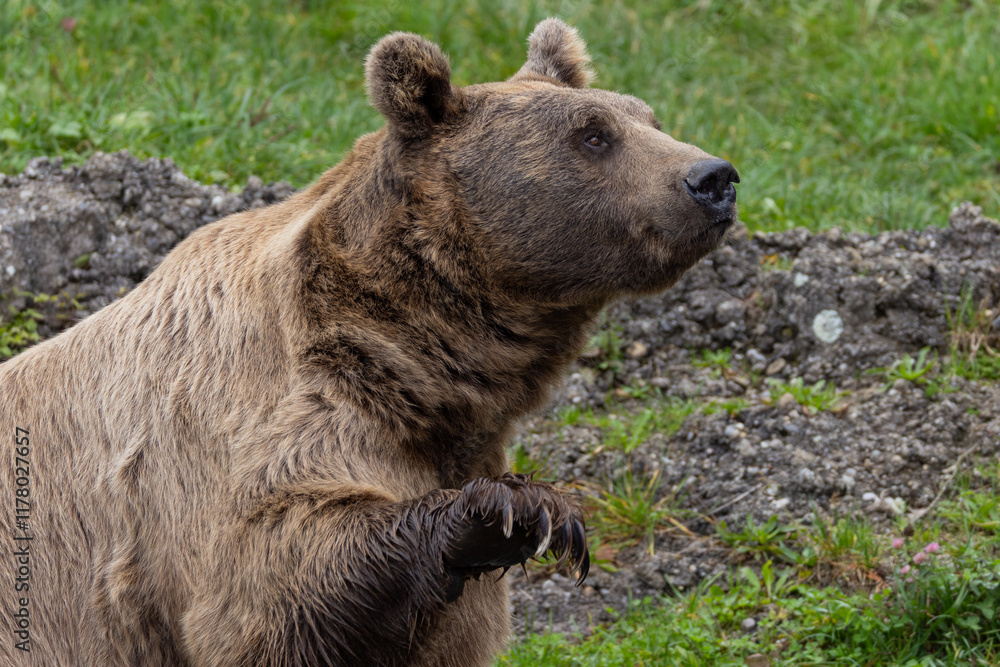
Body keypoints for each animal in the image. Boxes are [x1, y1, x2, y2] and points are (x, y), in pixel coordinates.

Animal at [0, 18, 738, 667]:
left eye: (649, 117)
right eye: (592, 134)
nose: (713, 177)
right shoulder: (239, 431)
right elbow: (274, 582)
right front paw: (522, 510)